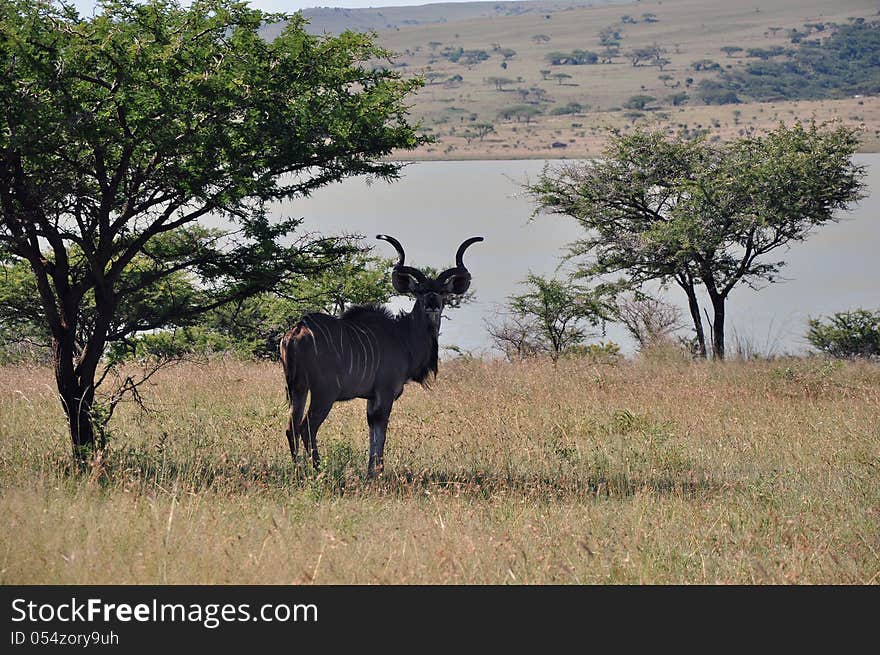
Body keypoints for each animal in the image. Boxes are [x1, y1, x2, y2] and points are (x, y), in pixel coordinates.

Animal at [278, 236, 482, 476]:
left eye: (442, 291)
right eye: (420, 291)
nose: (432, 304)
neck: (403, 335)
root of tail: (297, 331)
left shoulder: (372, 397)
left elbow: (372, 431)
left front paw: (370, 472)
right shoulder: (386, 392)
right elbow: (381, 430)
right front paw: (378, 473)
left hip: (297, 389)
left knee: (291, 427)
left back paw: (298, 470)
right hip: (324, 393)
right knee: (306, 427)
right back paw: (319, 471)